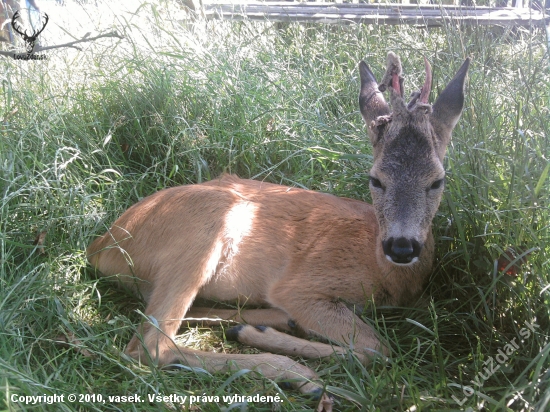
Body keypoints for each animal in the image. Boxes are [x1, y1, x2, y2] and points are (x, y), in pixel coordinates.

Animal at [88, 52, 472, 412]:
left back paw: (263, 325)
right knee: (150, 345)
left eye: (438, 181)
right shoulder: (300, 287)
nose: (402, 247)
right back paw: (293, 371)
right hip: (205, 227)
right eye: (376, 179)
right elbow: (376, 348)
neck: (383, 272)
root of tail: (101, 246)